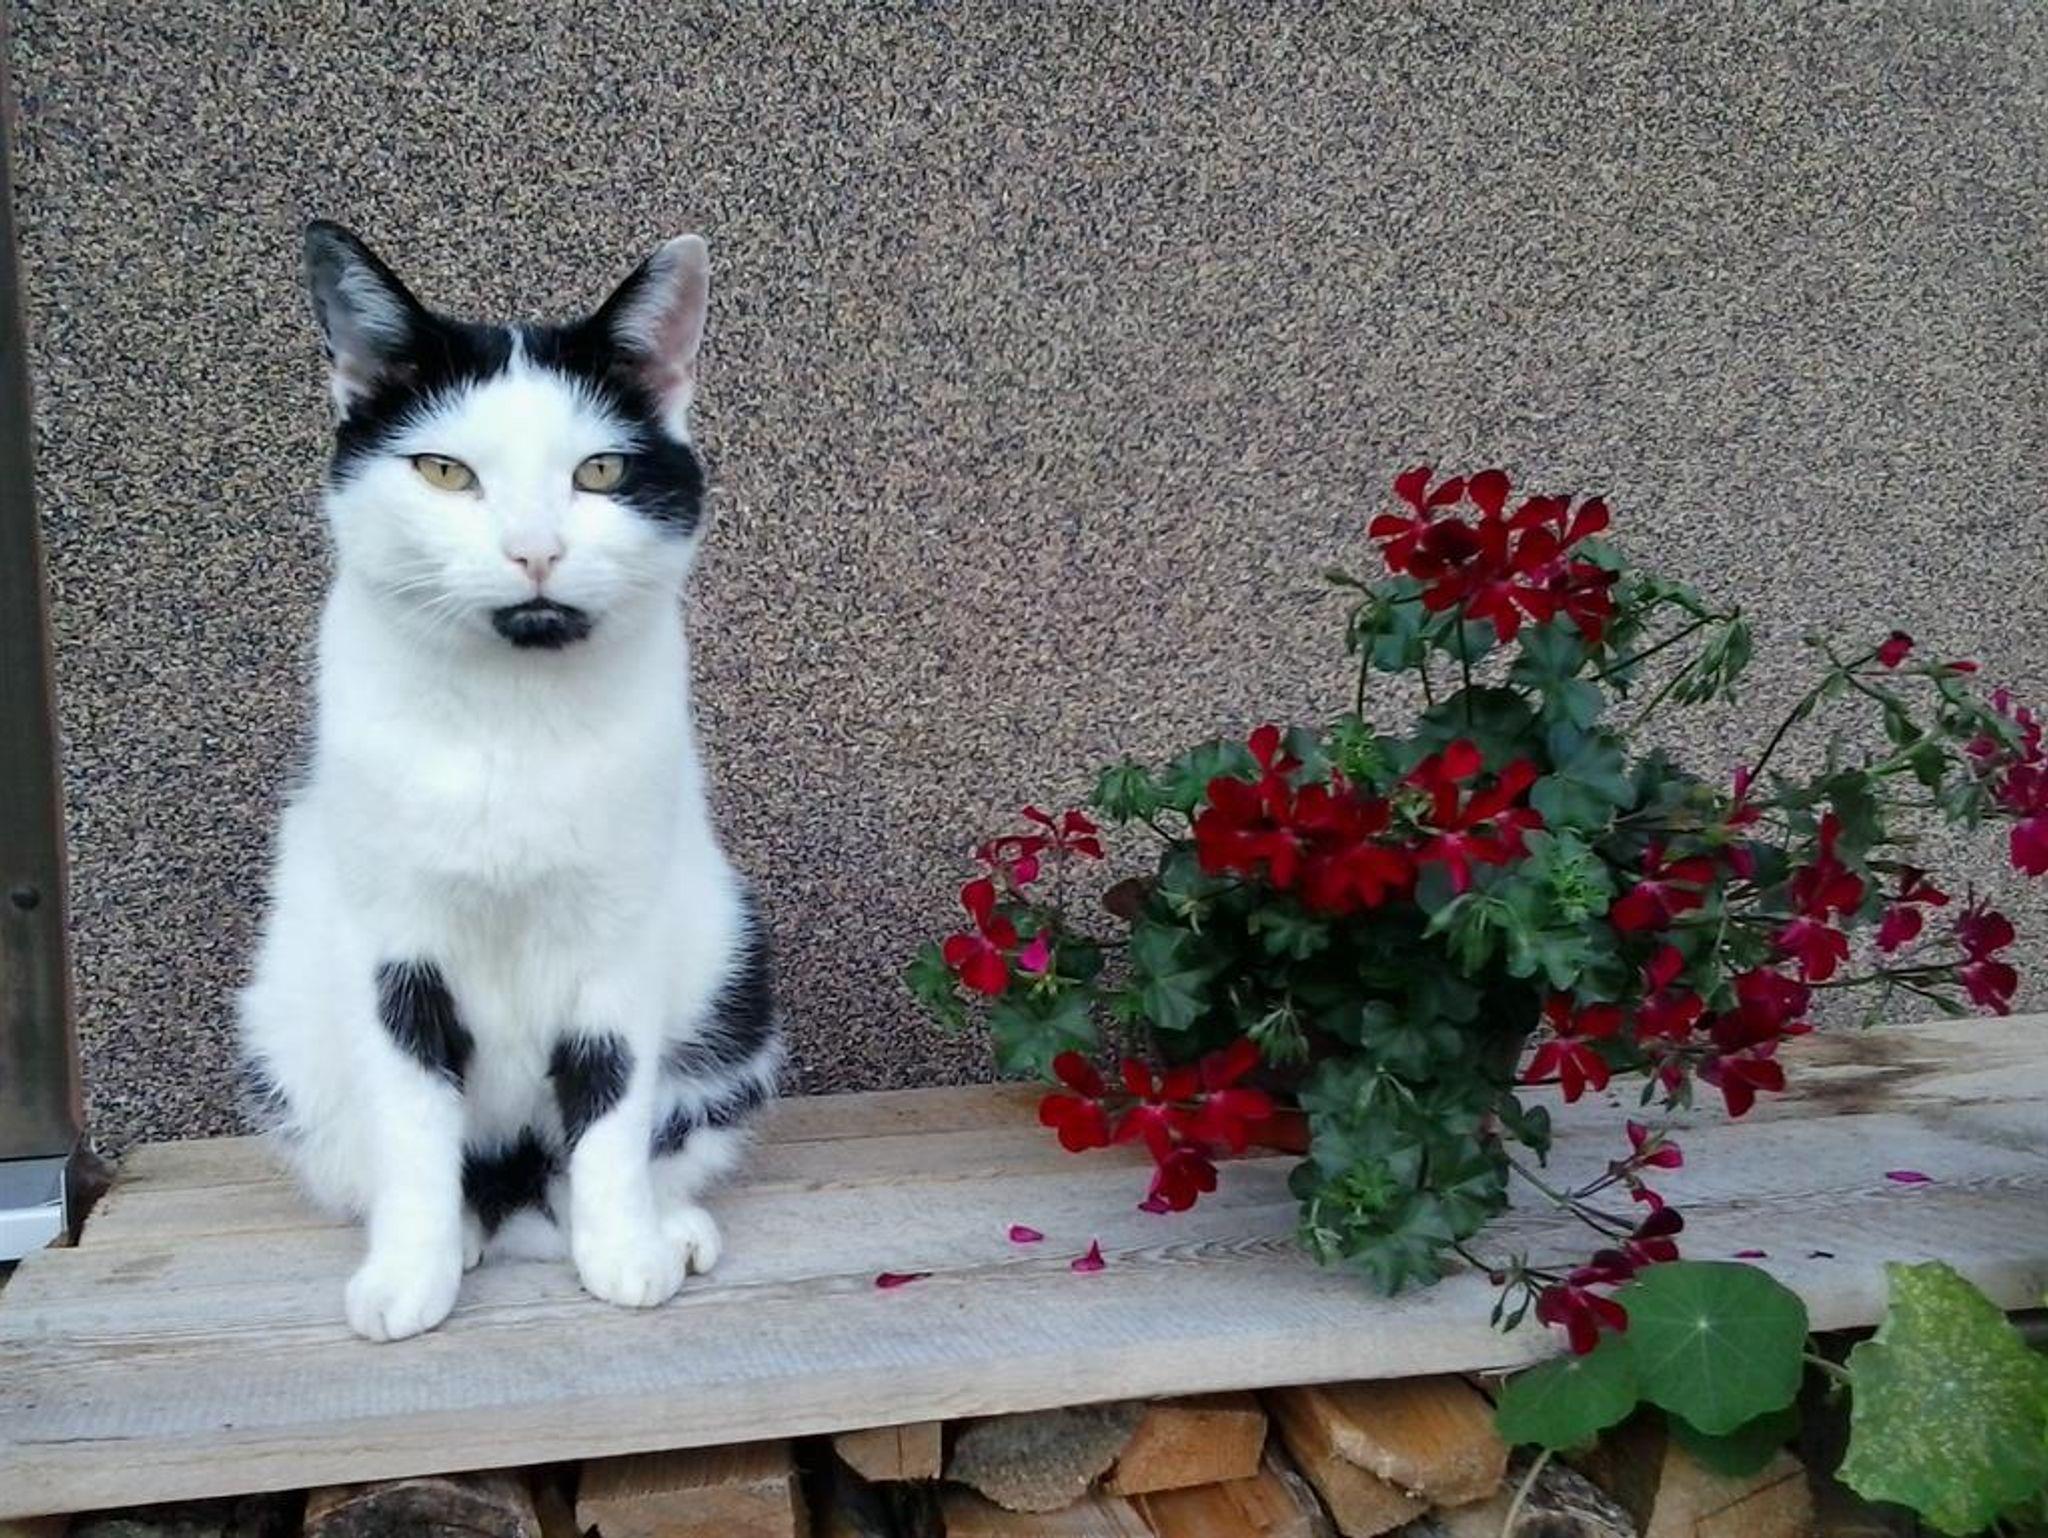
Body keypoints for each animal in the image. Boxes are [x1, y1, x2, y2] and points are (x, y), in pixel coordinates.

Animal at [237, 222, 777, 1341]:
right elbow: (412, 1127)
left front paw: (622, 1251)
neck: (510, 721)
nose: (536, 550)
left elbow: (610, 1111)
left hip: (733, 975)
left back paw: (657, 1223)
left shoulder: (620, 937)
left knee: (615, 1143)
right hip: (282, 1030)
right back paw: (462, 1231)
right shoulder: (390, 948)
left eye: (600, 470)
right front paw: (410, 1272)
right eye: (445, 471)